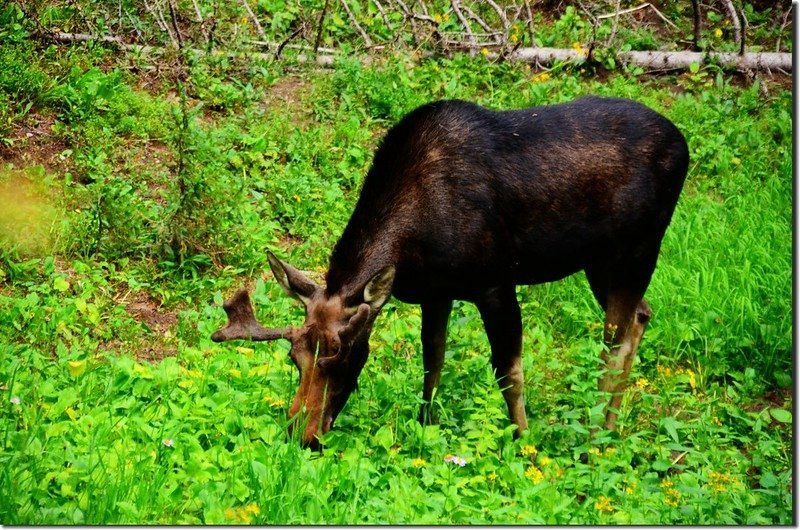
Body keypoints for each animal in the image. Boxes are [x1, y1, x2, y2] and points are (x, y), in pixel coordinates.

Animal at [211, 95, 688, 446]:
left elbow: (508, 371)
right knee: (640, 315)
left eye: (340, 353)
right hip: (600, 261)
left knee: (616, 338)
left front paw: (523, 442)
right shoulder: (436, 292)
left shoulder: (495, 282)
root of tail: (683, 143)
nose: (301, 436)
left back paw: (595, 438)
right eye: (294, 356)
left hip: (638, 248)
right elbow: (432, 361)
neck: (413, 238)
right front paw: (426, 428)